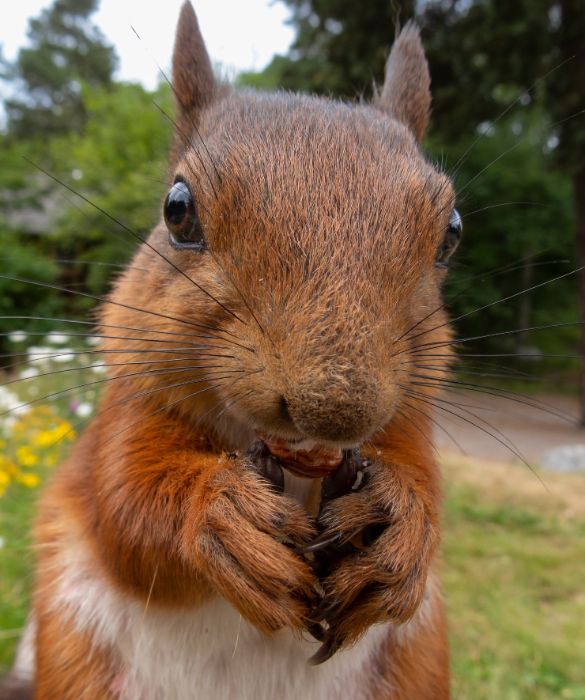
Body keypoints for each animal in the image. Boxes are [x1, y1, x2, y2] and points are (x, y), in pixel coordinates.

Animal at [6, 2, 458, 696]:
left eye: (451, 234)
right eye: (177, 210)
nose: (335, 409)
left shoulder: (408, 422)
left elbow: (424, 482)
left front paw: (402, 524)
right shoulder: (124, 417)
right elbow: (125, 504)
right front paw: (219, 514)